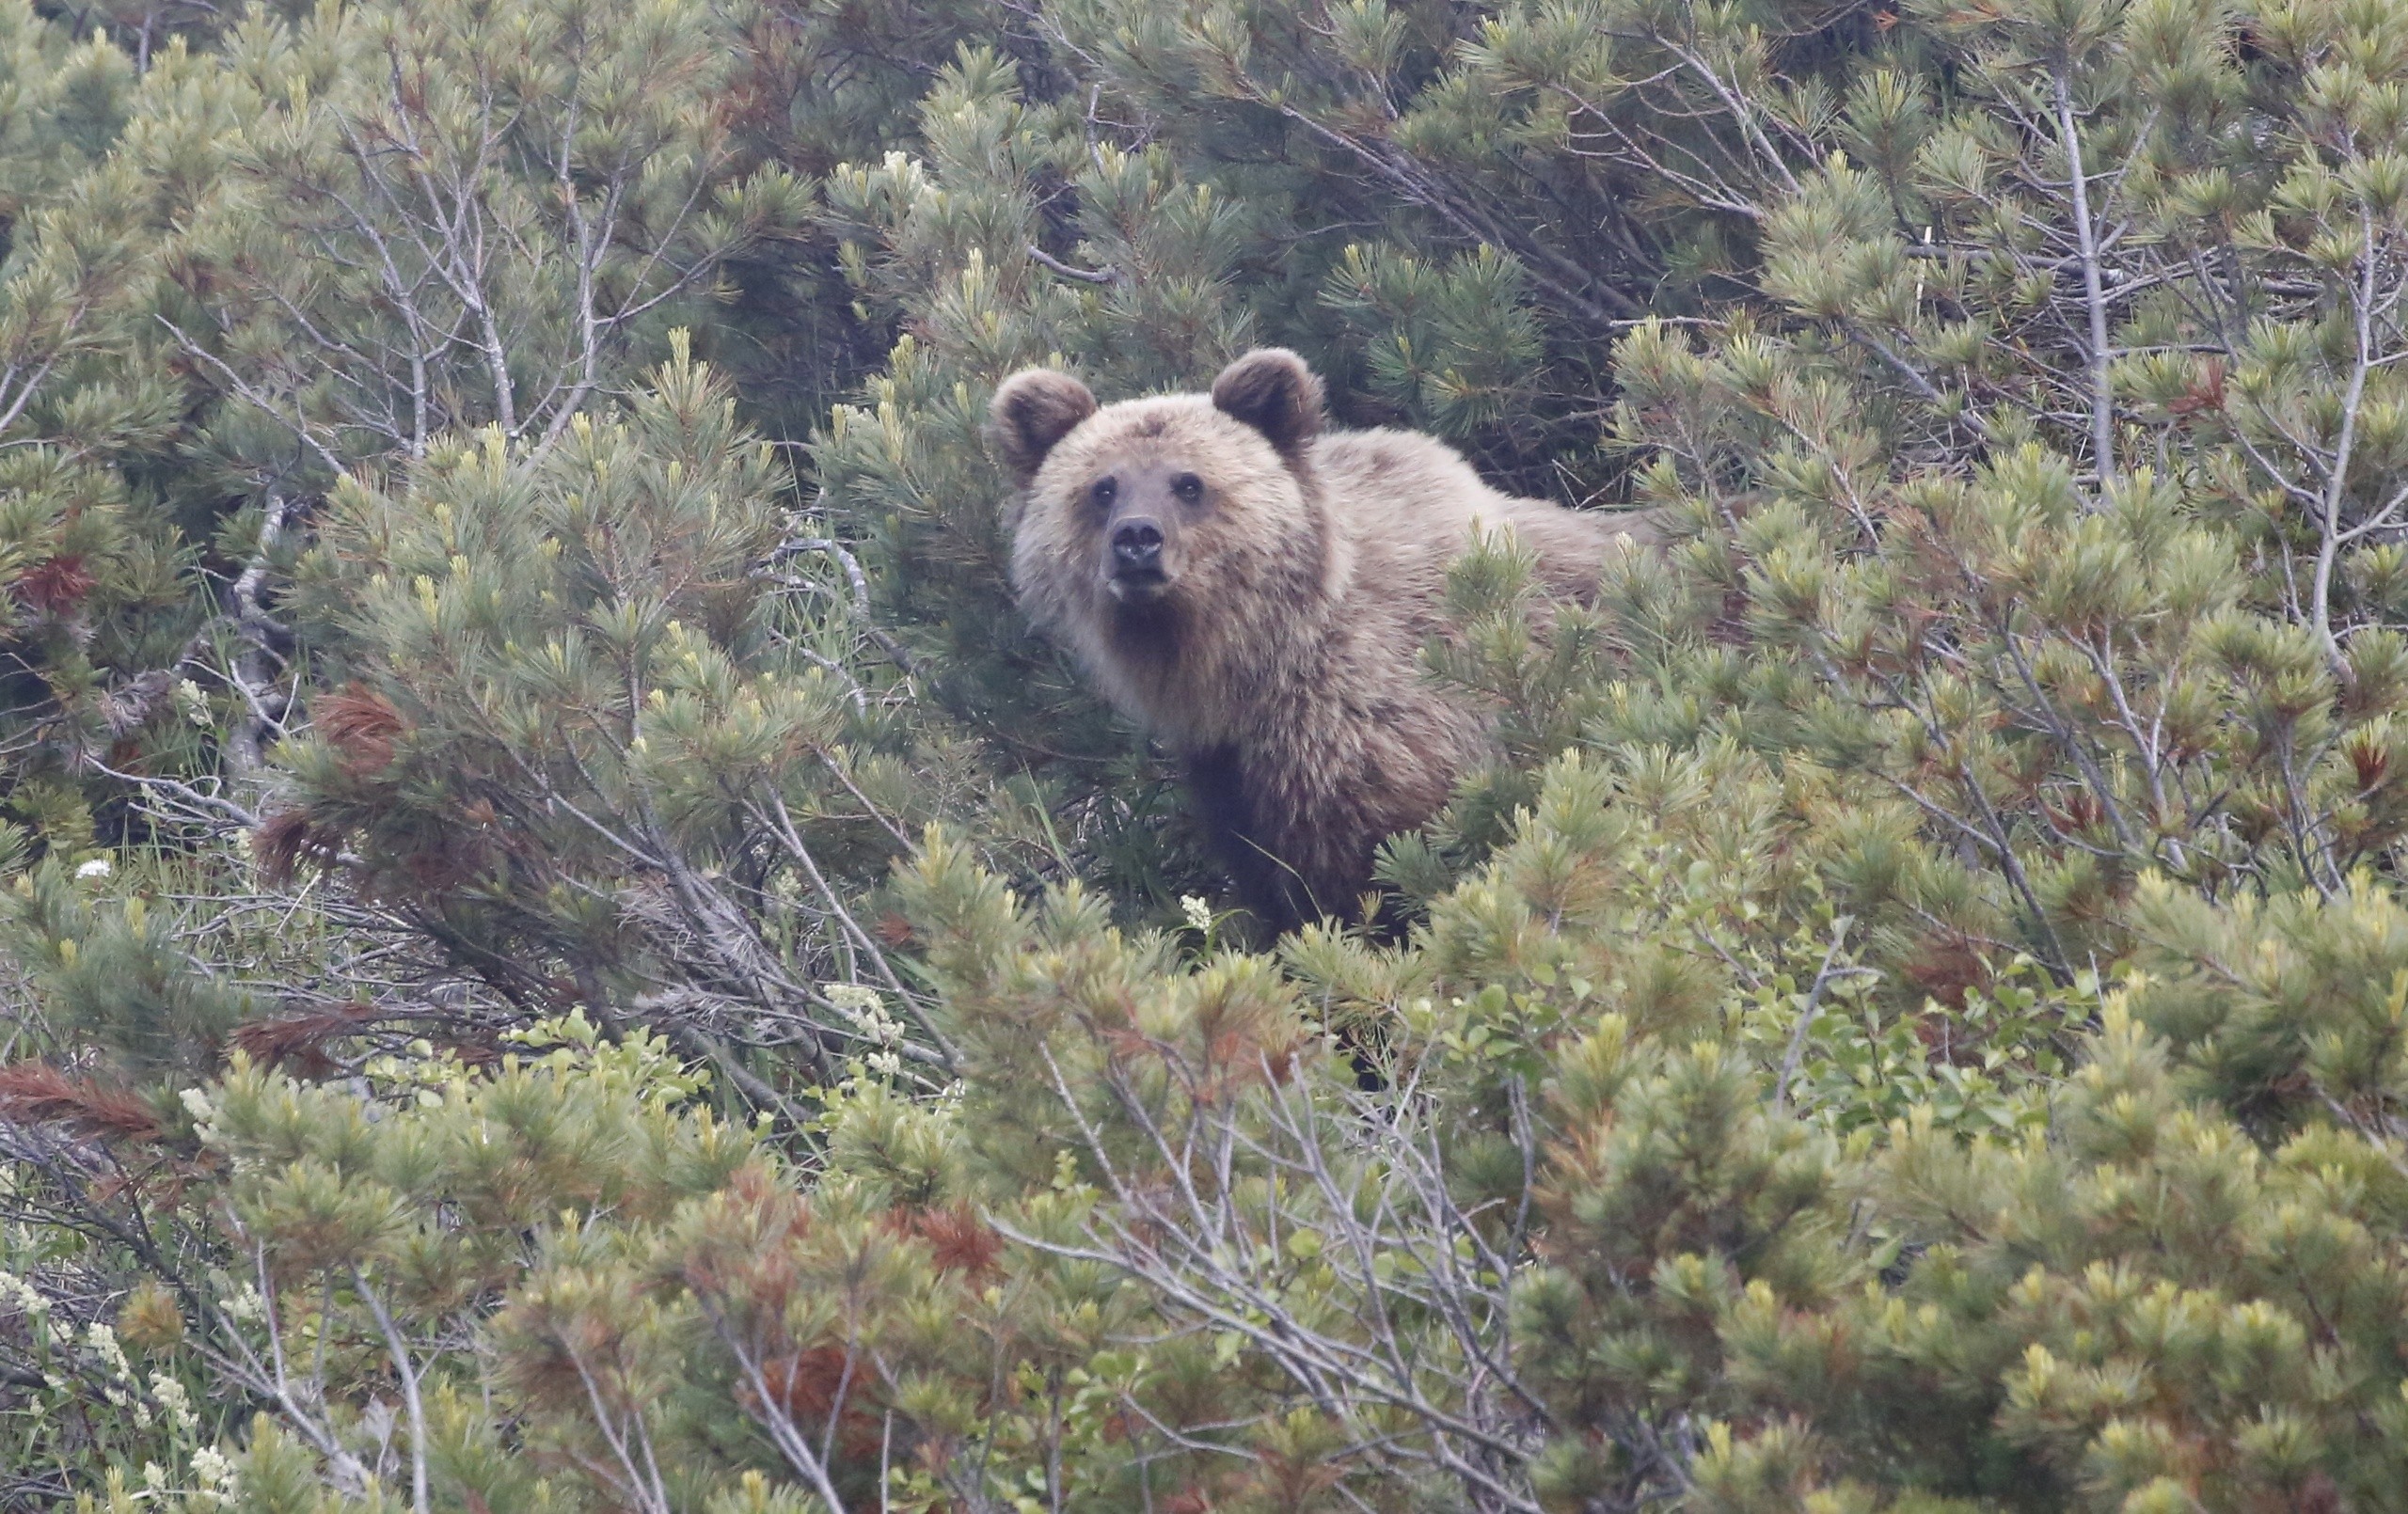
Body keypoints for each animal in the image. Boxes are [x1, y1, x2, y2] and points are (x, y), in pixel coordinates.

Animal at [982, 349, 1656, 934]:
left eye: (1188, 483)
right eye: (1102, 487)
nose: (1137, 539)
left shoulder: (1386, 738)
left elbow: (1376, 879)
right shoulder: (1230, 773)